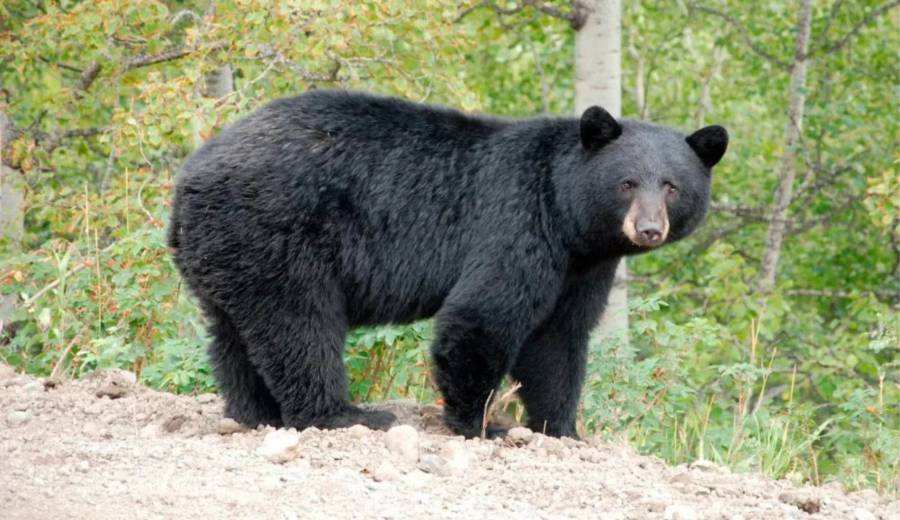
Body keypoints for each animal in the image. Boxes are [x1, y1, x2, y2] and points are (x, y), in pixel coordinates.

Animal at [168, 89, 727, 438]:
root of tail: (188, 179)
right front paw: (481, 423)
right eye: (627, 182)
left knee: (234, 335)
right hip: (278, 234)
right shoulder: (517, 222)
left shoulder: (582, 266)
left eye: (672, 186)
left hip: (228, 251)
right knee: (299, 325)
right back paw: (342, 414)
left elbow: (559, 339)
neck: (568, 216)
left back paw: (255, 412)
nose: (648, 229)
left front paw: (561, 428)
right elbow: (482, 316)